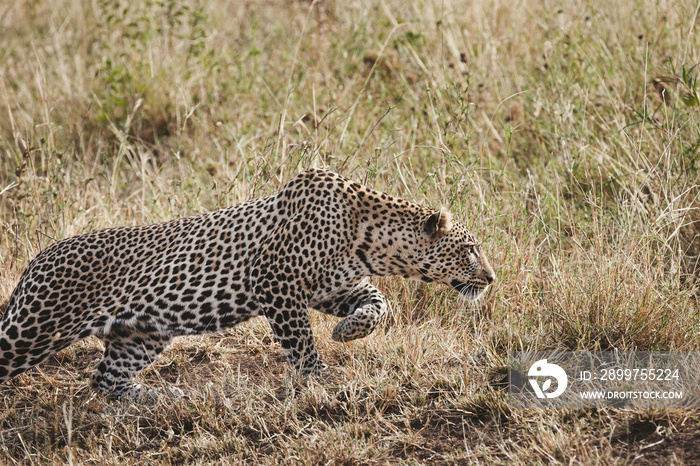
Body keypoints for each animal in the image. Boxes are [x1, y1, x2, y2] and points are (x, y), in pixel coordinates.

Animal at [0, 167, 494, 396]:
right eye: (470, 249)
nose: (491, 278)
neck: (370, 237)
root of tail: (36, 260)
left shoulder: (332, 286)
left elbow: (376, 302)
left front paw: (347, 331)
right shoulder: (277, 283)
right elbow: (300, 340)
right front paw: (319, 377)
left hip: (141, 333)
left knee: (106, 380)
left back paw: (160, 396)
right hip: (33, 328)